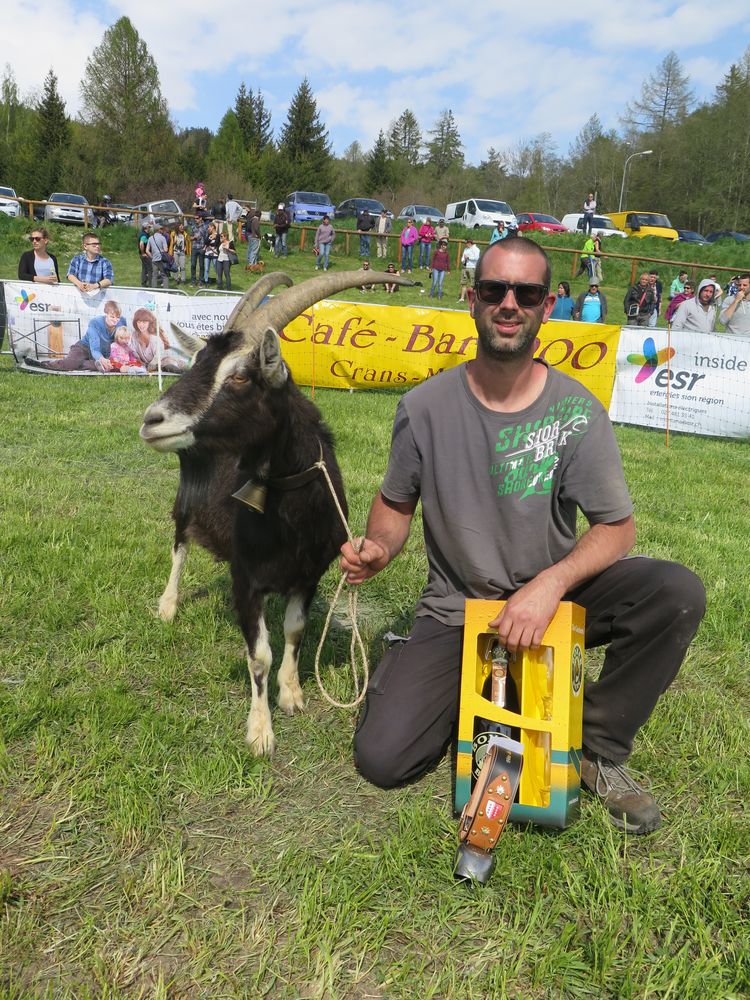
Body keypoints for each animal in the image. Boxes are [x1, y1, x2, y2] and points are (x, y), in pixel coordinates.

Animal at [141, 270, 412, 752]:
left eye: (240, 376)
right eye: (196, 364)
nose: (152, 419)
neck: (289, 515)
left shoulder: (309, 574)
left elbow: (295, 630)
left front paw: (292, 694)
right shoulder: (246, 579)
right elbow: (259, 654)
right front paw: (261, 730)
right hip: (185, 500)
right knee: (179, 546)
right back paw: (168, 607)